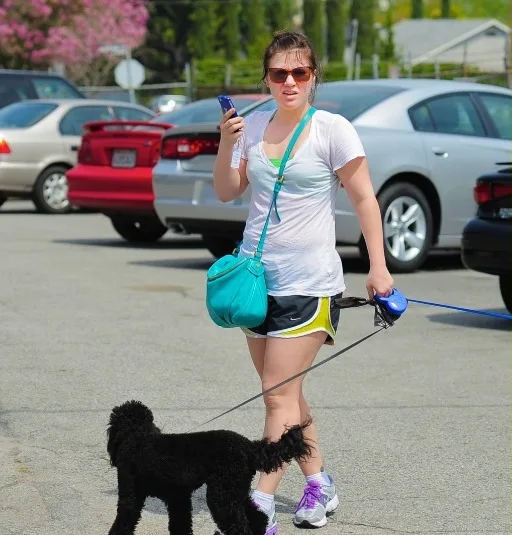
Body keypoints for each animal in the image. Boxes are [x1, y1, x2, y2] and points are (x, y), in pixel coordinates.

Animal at [106, 402, 310, 535]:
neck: (139, 438)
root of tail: (248, 447)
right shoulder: (178, 498)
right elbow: (180, 525)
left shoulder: (130, 496)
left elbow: (123, 522)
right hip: (236, 491)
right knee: (258, 517)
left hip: (222, 496)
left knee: (240, 528)